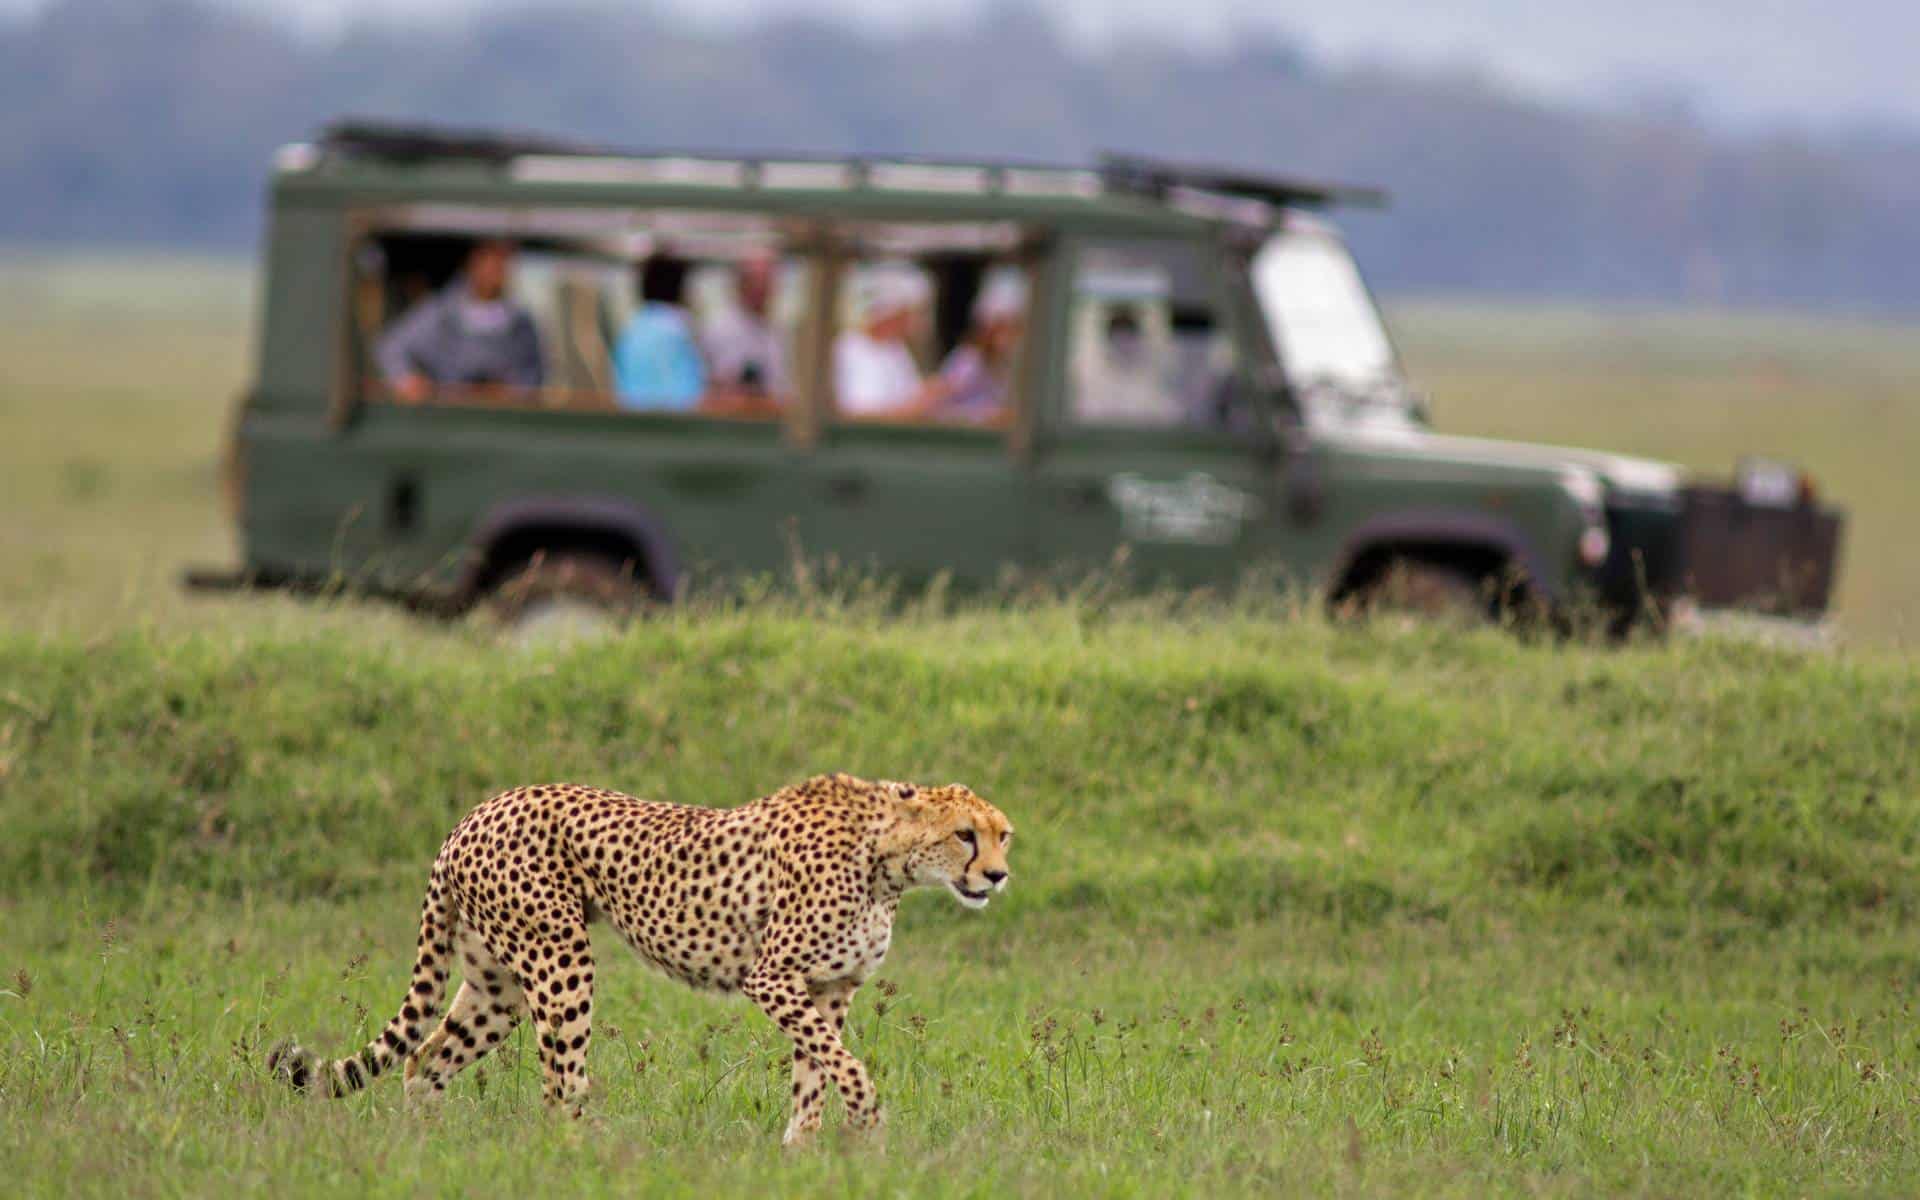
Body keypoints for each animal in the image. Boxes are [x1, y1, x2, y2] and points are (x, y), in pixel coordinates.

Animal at [272, 775, 1021, 1144]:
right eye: (965, 835)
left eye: (1003, 835)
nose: (998, 876)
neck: (888, 861)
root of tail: (474, 814)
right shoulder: (774, 978)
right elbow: (847, 1067)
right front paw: (867, 1123)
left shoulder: (828, 989)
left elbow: (817, 1072)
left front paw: (803, 1154)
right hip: (560, 958)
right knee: (560, 1085)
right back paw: (592, 1155)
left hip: (497, 984)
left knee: (425, 1062)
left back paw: (426, 1151)